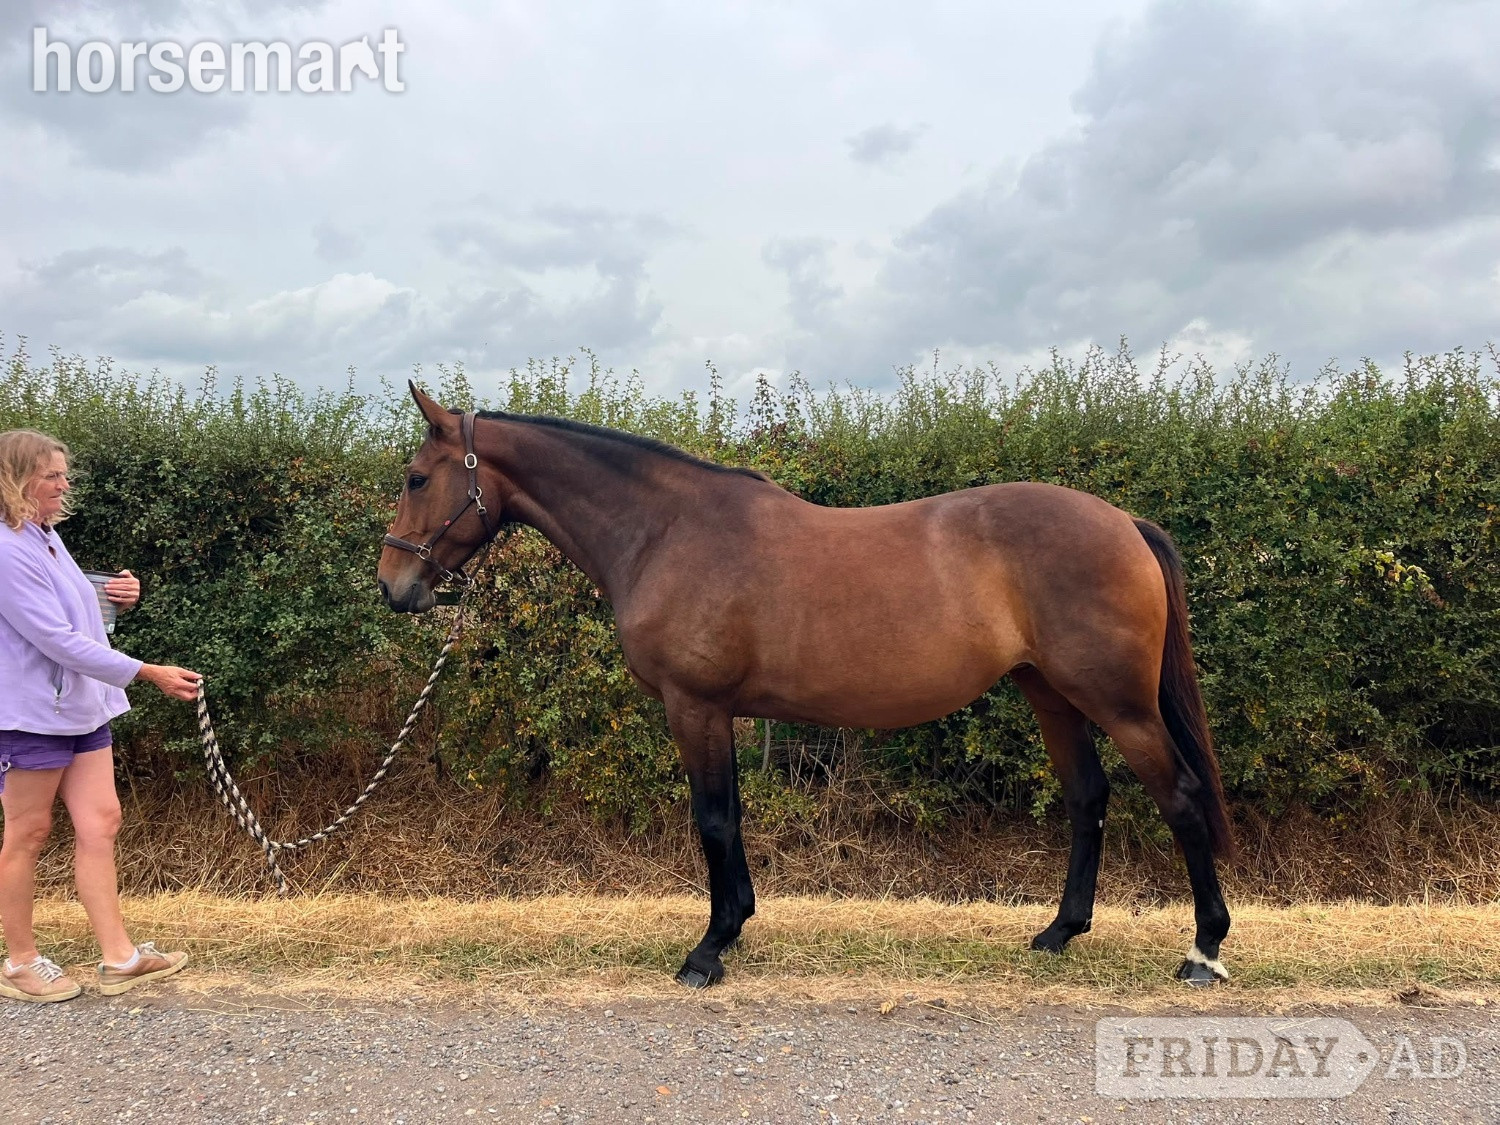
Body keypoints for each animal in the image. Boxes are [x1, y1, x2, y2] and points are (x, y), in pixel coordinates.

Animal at [378, 382, 1235, 987]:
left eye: (417, 477)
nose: (394, 585)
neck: (666, 530)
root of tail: (1124, 522)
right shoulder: (717, 712)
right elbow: (729, 817)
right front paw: (734, 926)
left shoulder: (696, 706)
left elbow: (713, 818)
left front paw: (708, 949)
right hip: (1049, 692)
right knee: (1088, 797)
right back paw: (1059, 932)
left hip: (1120, 704)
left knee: (1181, 798)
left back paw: (1203, 950)